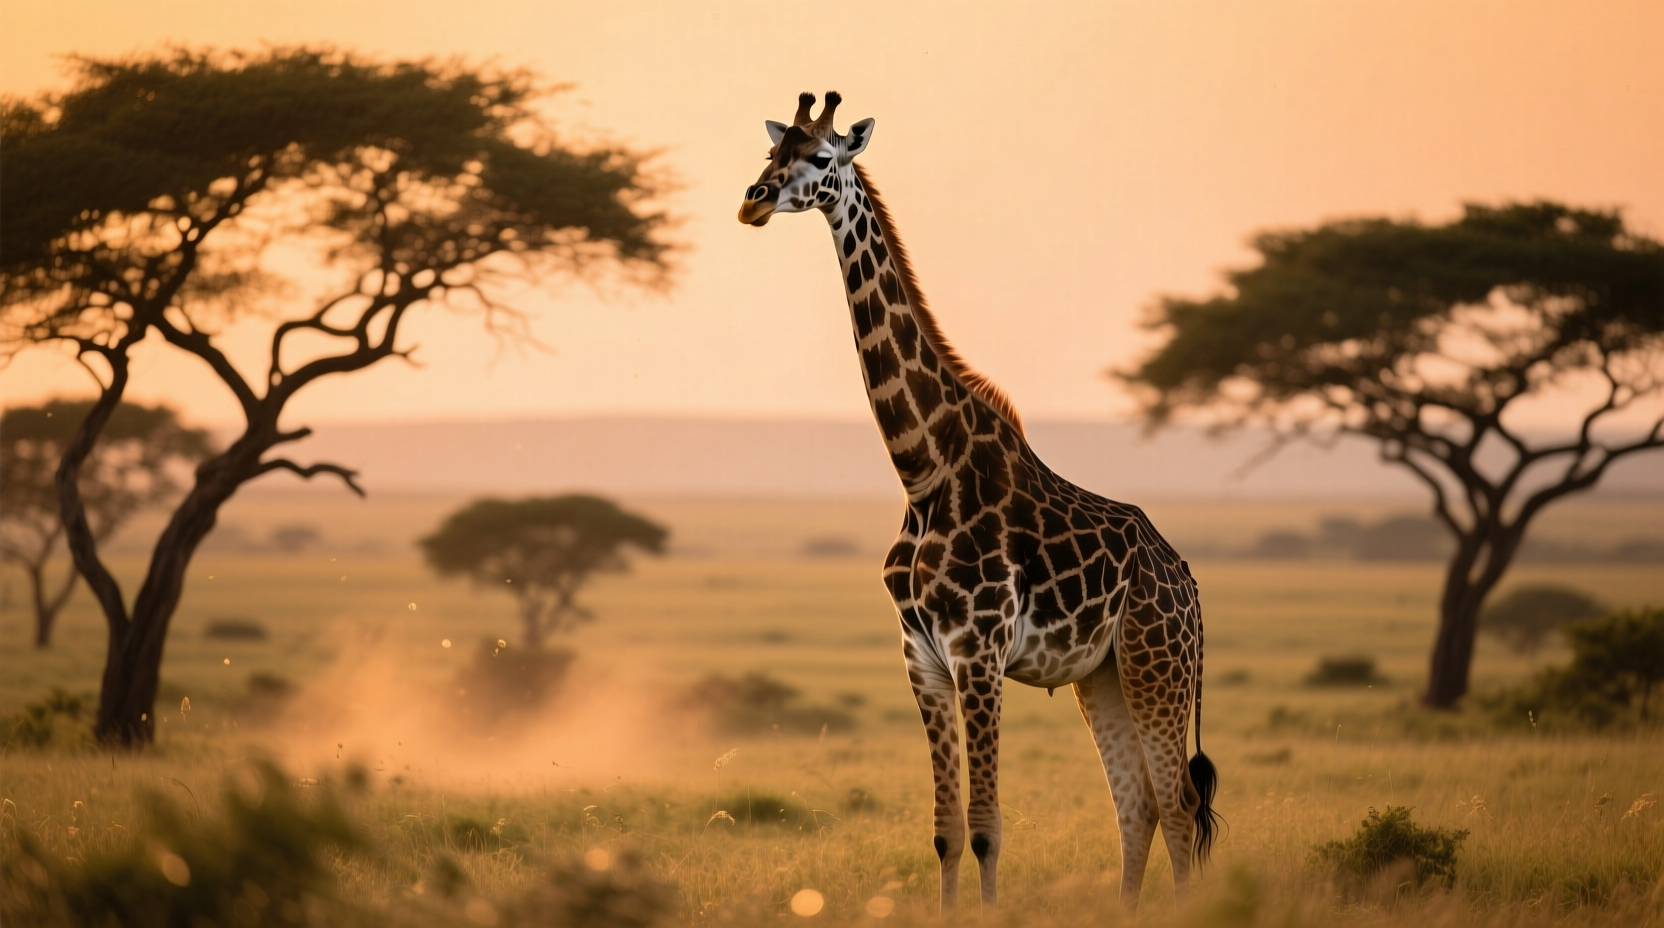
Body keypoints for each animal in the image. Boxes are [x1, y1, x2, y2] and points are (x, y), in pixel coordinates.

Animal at [737, 92, 1220, 915]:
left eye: (823, 158)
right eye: (773, 152)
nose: (754, 200)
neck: (923, 469)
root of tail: (1189, 585)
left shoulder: (980, 653)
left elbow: (990, 827)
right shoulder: (923, 660)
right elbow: (946, 831)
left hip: (1157, 664)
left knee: (1179, 803)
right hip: (1103, 674)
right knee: (1139, 805)